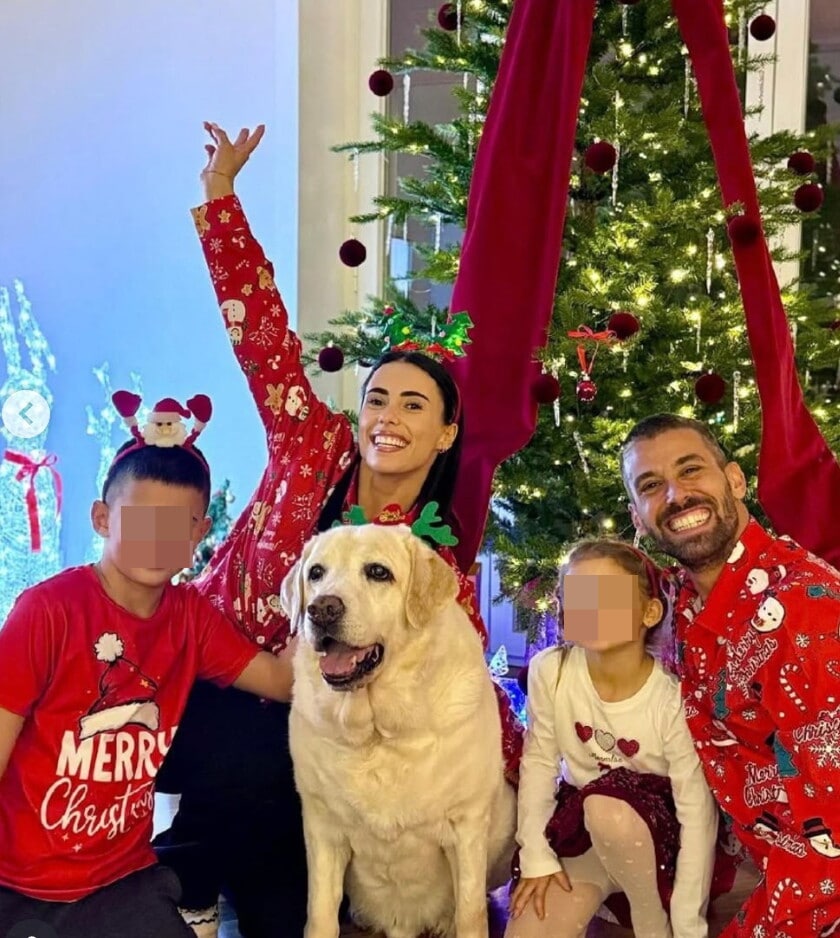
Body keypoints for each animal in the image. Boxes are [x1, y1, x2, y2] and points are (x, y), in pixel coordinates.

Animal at [280, 524, 516, 938]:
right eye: (316, 573)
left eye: (378, 572)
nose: (321, 608)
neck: (378, 734)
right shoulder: (323, 827)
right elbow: (321, 913)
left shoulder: (466, 826)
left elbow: (471, 914)